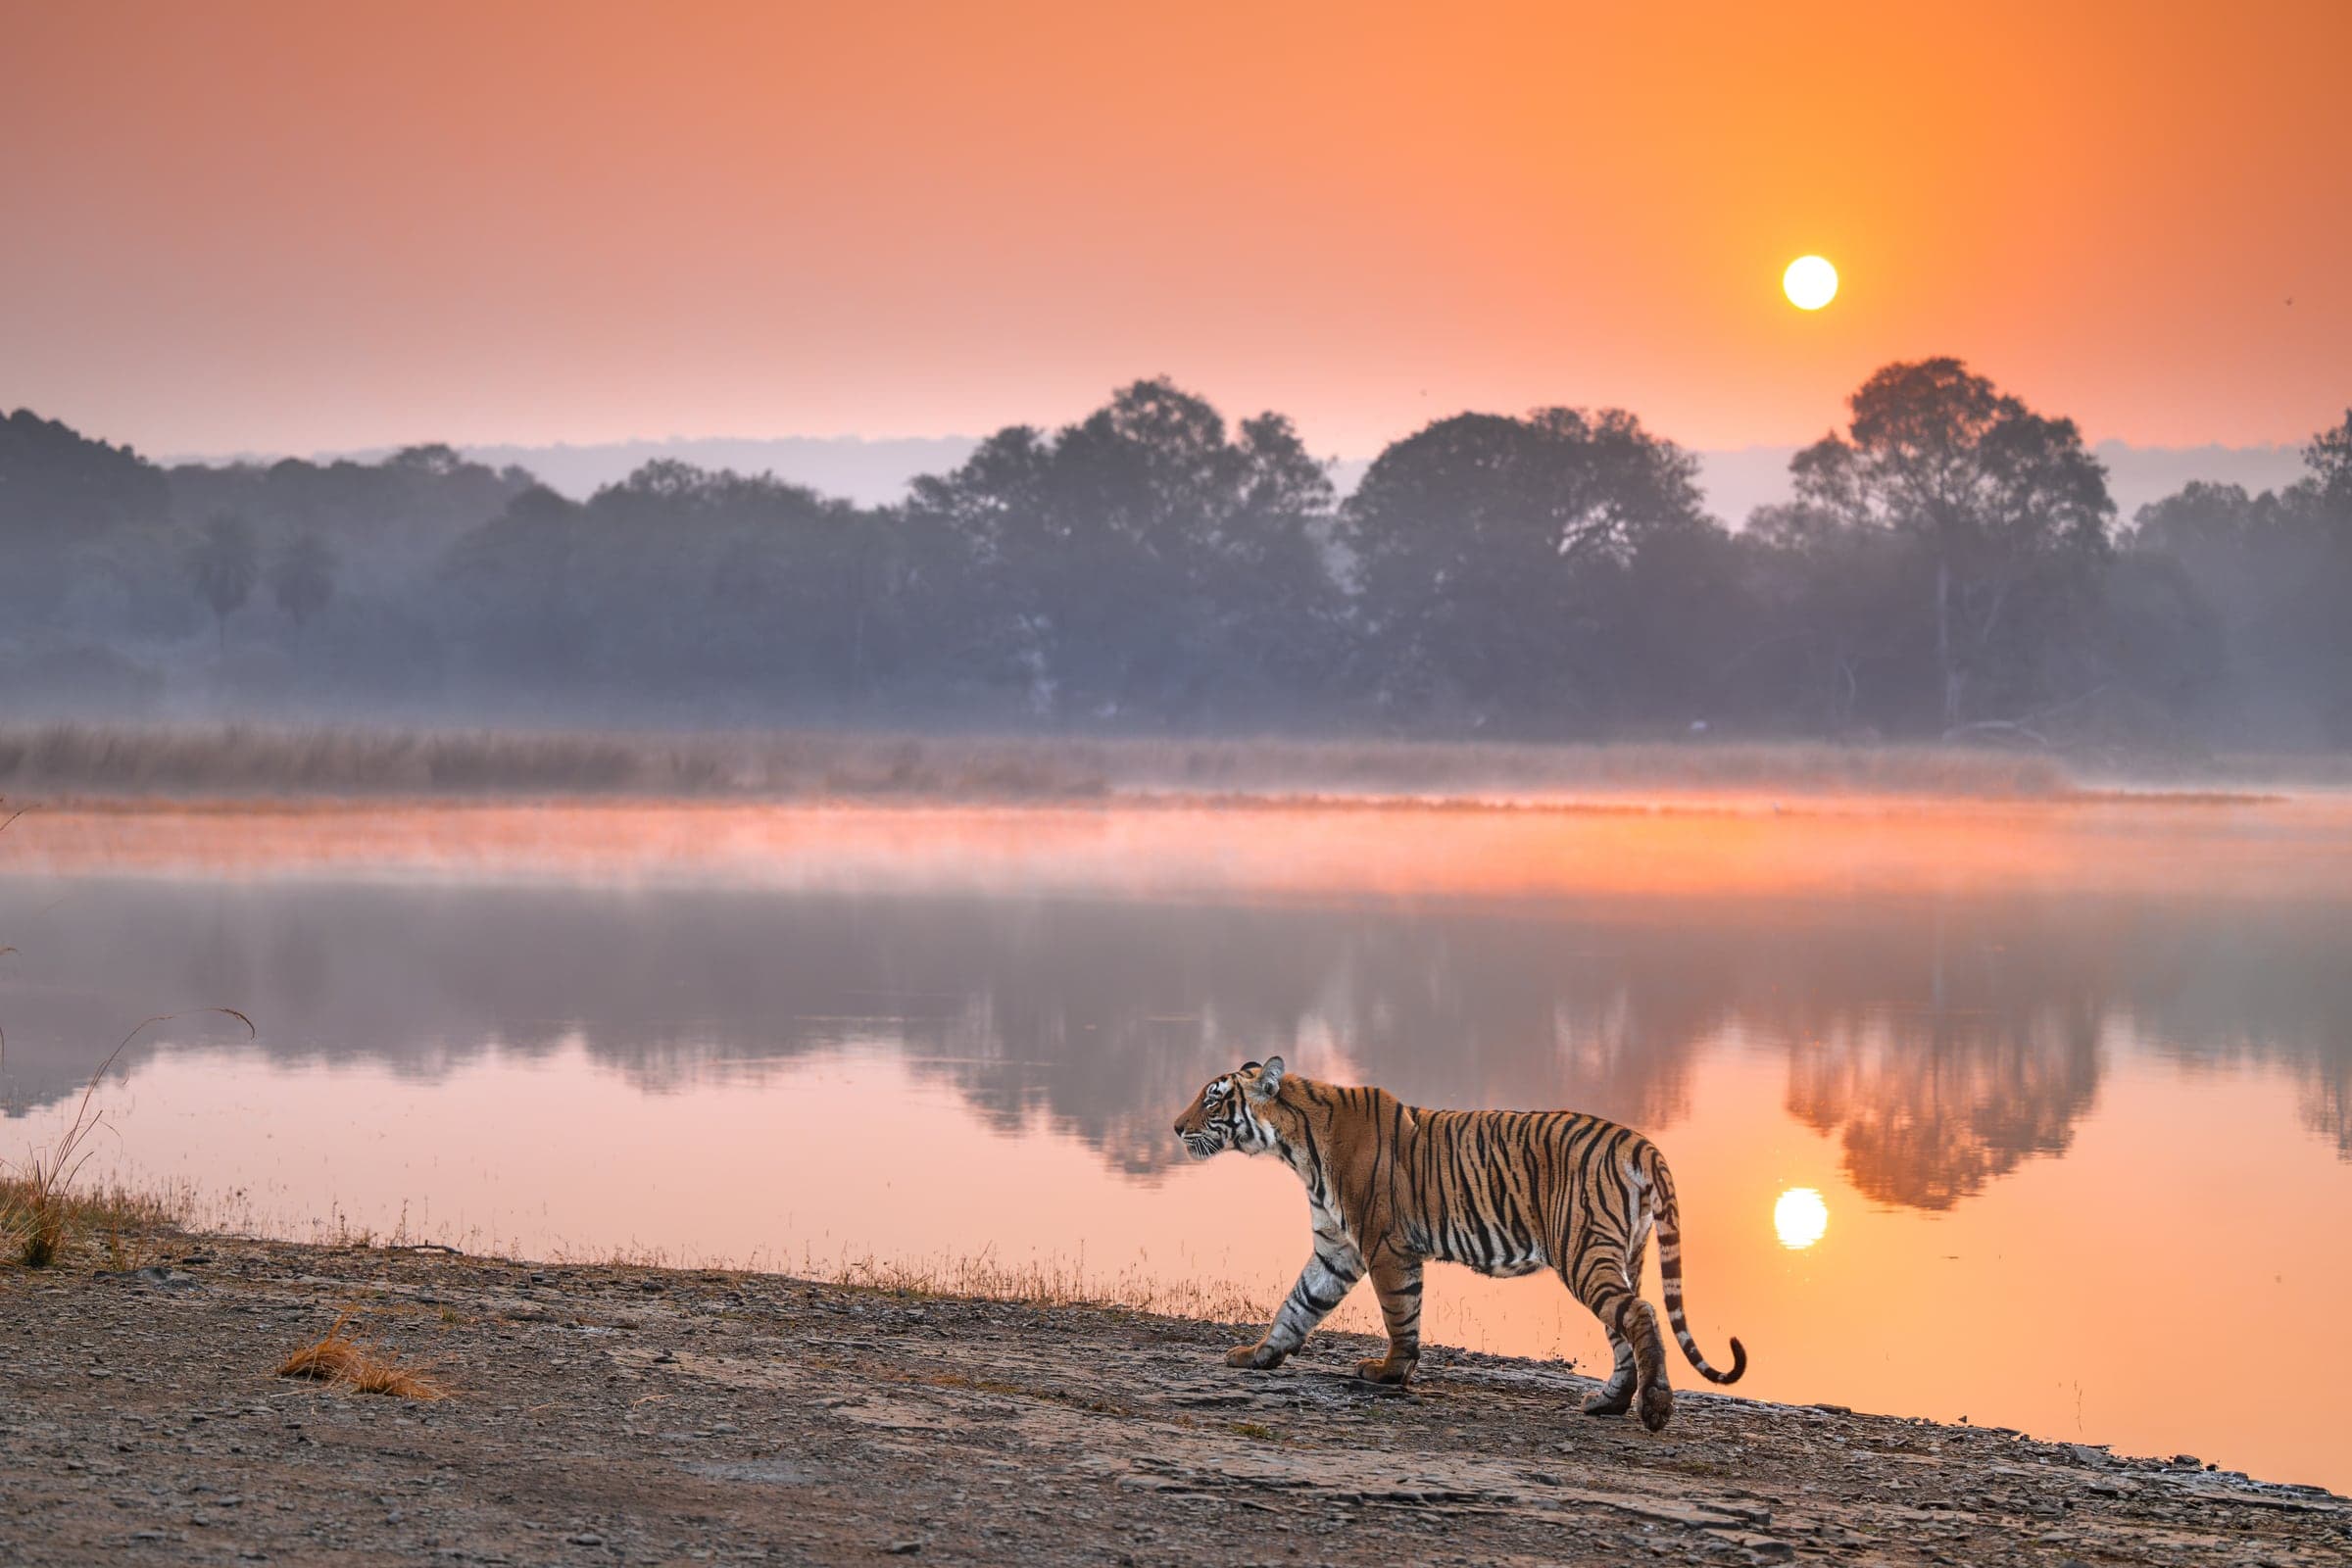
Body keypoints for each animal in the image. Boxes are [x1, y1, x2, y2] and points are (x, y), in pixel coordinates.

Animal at [1172, 1055, 1745, 1431]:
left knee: (1640, 1315)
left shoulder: (1384, 1246)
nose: (1176, 1128)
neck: (1294, 1144)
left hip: (1583, 1251)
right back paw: (1608, 1403)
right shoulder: (1336, 1250)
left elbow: (1399, 1313)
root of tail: (1640, 1142)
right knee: (1622, 1328)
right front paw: (1257, 1355)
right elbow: (1297, 1305)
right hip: (1622, 1255)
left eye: (1213, 1099)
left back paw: (1655, 1409)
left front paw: (1389, 1372)